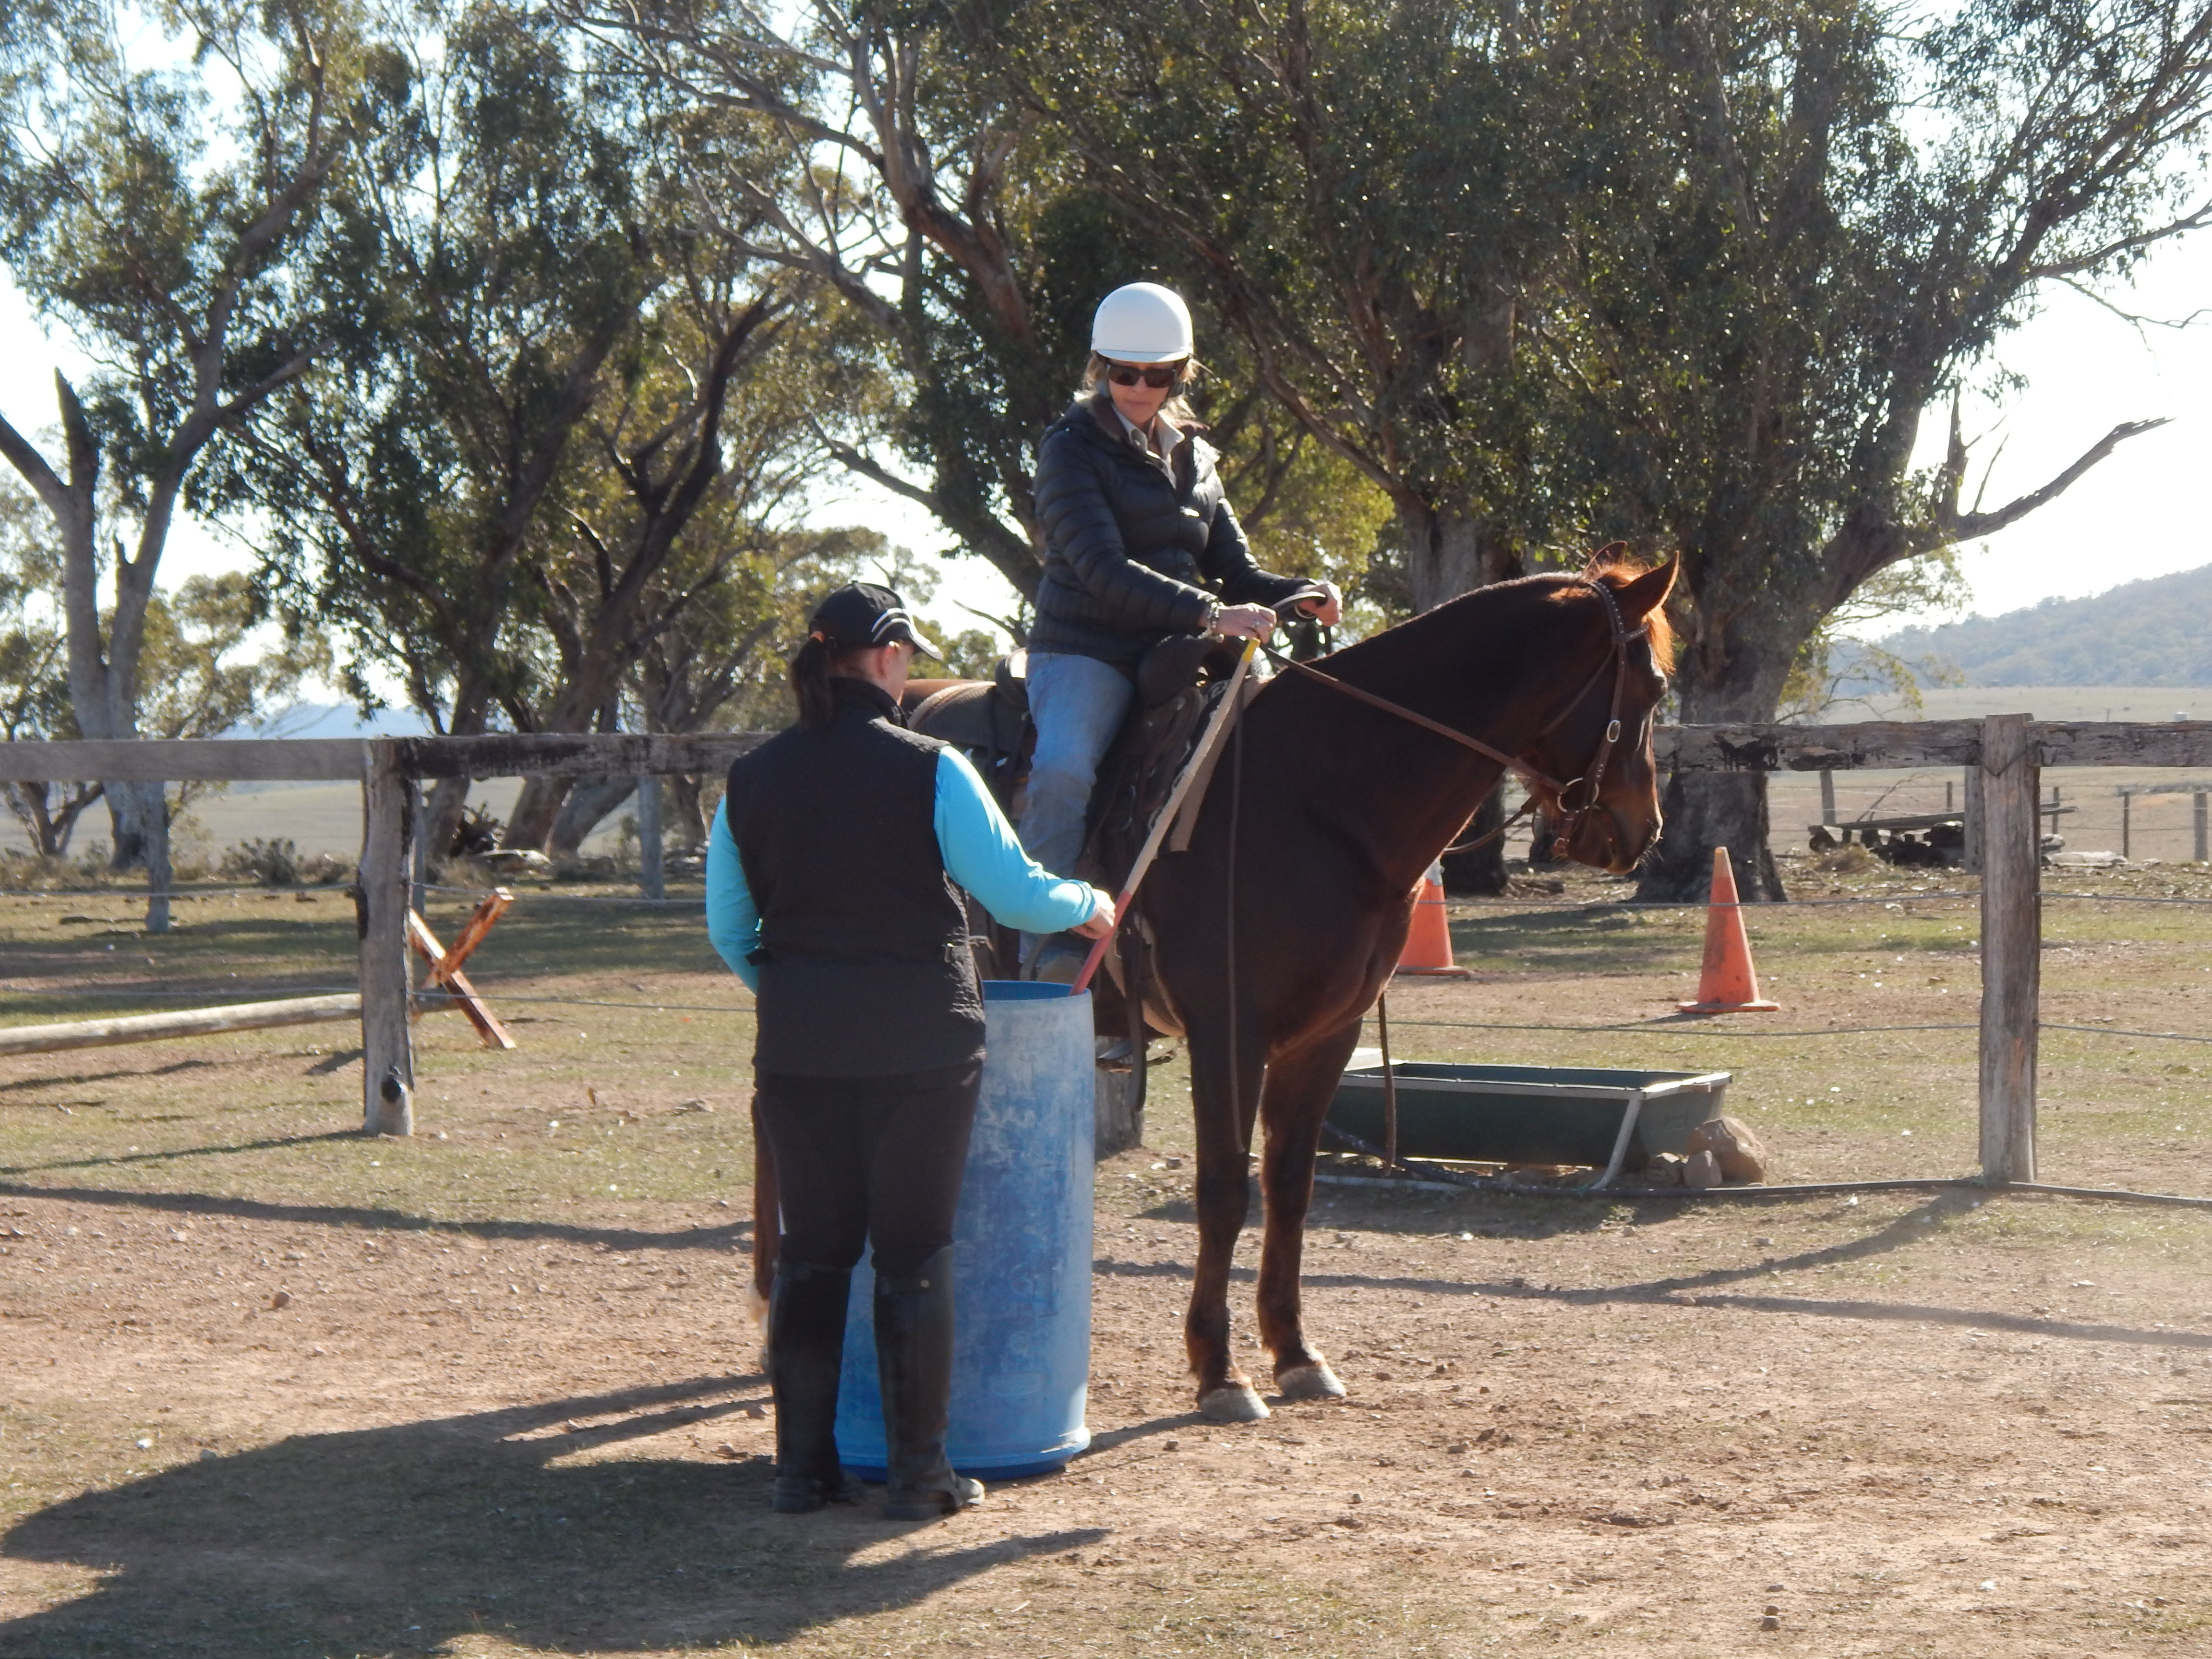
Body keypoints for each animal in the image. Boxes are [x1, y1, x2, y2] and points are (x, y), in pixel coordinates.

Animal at [746, 555, 1677, 1421]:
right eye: (1656, 685)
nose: (1640, 833)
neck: (1318, 797)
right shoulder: (1229, 1032)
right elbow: (1226, 1190)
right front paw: (1219, 1370)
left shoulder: (1324, 1037)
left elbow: (1289, 1189)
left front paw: (1295, 1354)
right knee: (775, 1130)